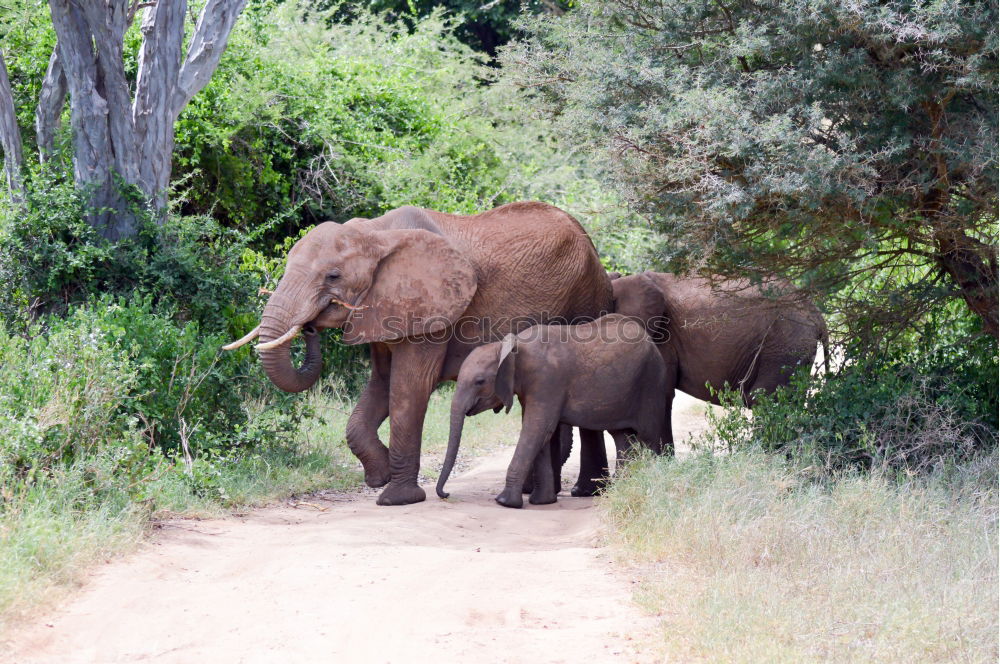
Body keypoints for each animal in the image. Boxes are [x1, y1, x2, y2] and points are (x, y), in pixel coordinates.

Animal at [225, 201, 608, 504]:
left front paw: (397, 498)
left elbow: (409, 387)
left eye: (333, 276)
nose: (308, 328)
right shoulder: (383, 309)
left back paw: (582, 492)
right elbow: (380, 386)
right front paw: (378, 476)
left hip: (587, 296)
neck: (375, 234)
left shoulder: (431, 311)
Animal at [436, 312, 664, 508]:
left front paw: (504, 502)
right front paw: (542, 502)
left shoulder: (547, 380)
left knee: (650, 437)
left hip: (652, 381)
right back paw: (622, 488)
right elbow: (541, 434)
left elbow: (537, 430)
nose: (446, 494)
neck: (512, 348)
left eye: (479, 381)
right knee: (622, 438)